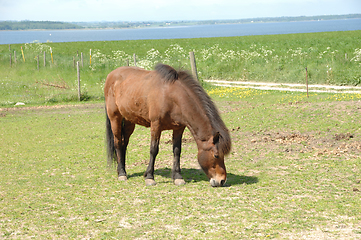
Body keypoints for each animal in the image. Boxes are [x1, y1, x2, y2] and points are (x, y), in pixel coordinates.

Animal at [103, 63, 231, 188]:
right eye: (216, 155)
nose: (221, 181)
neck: (172, 96)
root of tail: (111, 75)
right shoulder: (156, 126)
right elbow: (153, 150)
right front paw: (149, 177)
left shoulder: (179, 128)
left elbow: (177, 151)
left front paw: (178, 177)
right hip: (115, 118)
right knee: (118, 143)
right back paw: (122, 174)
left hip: (130, 121)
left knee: (124, 144)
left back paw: (122, 170)